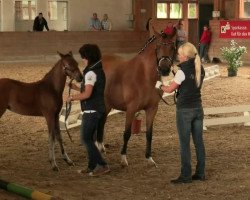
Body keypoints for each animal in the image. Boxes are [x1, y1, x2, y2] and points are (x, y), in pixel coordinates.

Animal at [96, 29, 177, 166]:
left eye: (172, 47)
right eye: (158, 47)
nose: (164, 69)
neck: (144, 76)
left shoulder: (152, 109)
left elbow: (149, 133)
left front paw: (149, 158)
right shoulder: (131, 108)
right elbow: (127, 133)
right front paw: (123, 158)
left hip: (107, 105)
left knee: (101, 122)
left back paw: (101, 147)